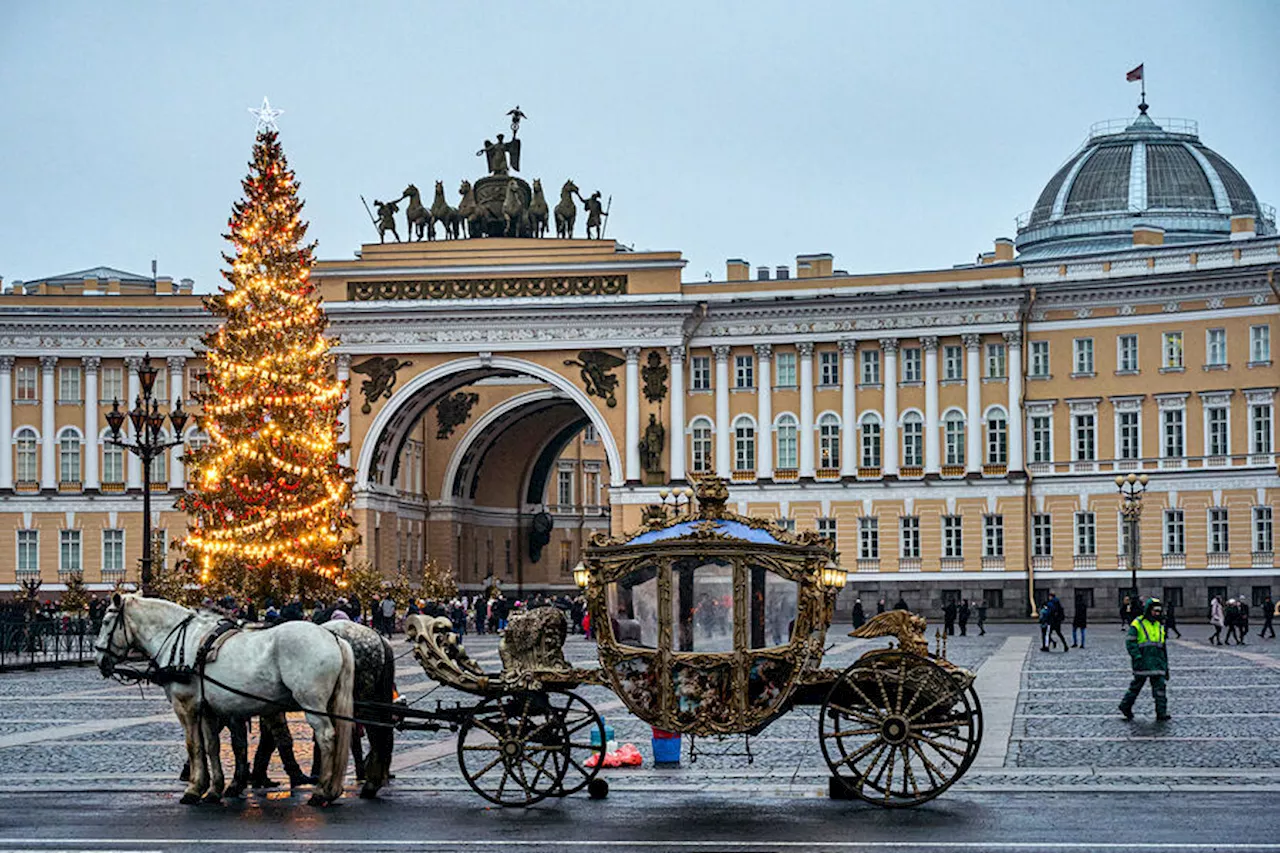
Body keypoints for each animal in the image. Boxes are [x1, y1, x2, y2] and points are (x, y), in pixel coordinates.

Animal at [93, 591, 355, 804]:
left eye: (106, 622)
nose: (99, 661)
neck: (183, 643)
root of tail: (333, 636)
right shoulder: (208, 710)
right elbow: (212, 746)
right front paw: (213, 789)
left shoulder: (186, 706)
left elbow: (193, 745)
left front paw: (193, 789)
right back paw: (330, 789)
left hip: (312, 703)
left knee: (326, 736)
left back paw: (321, 791)